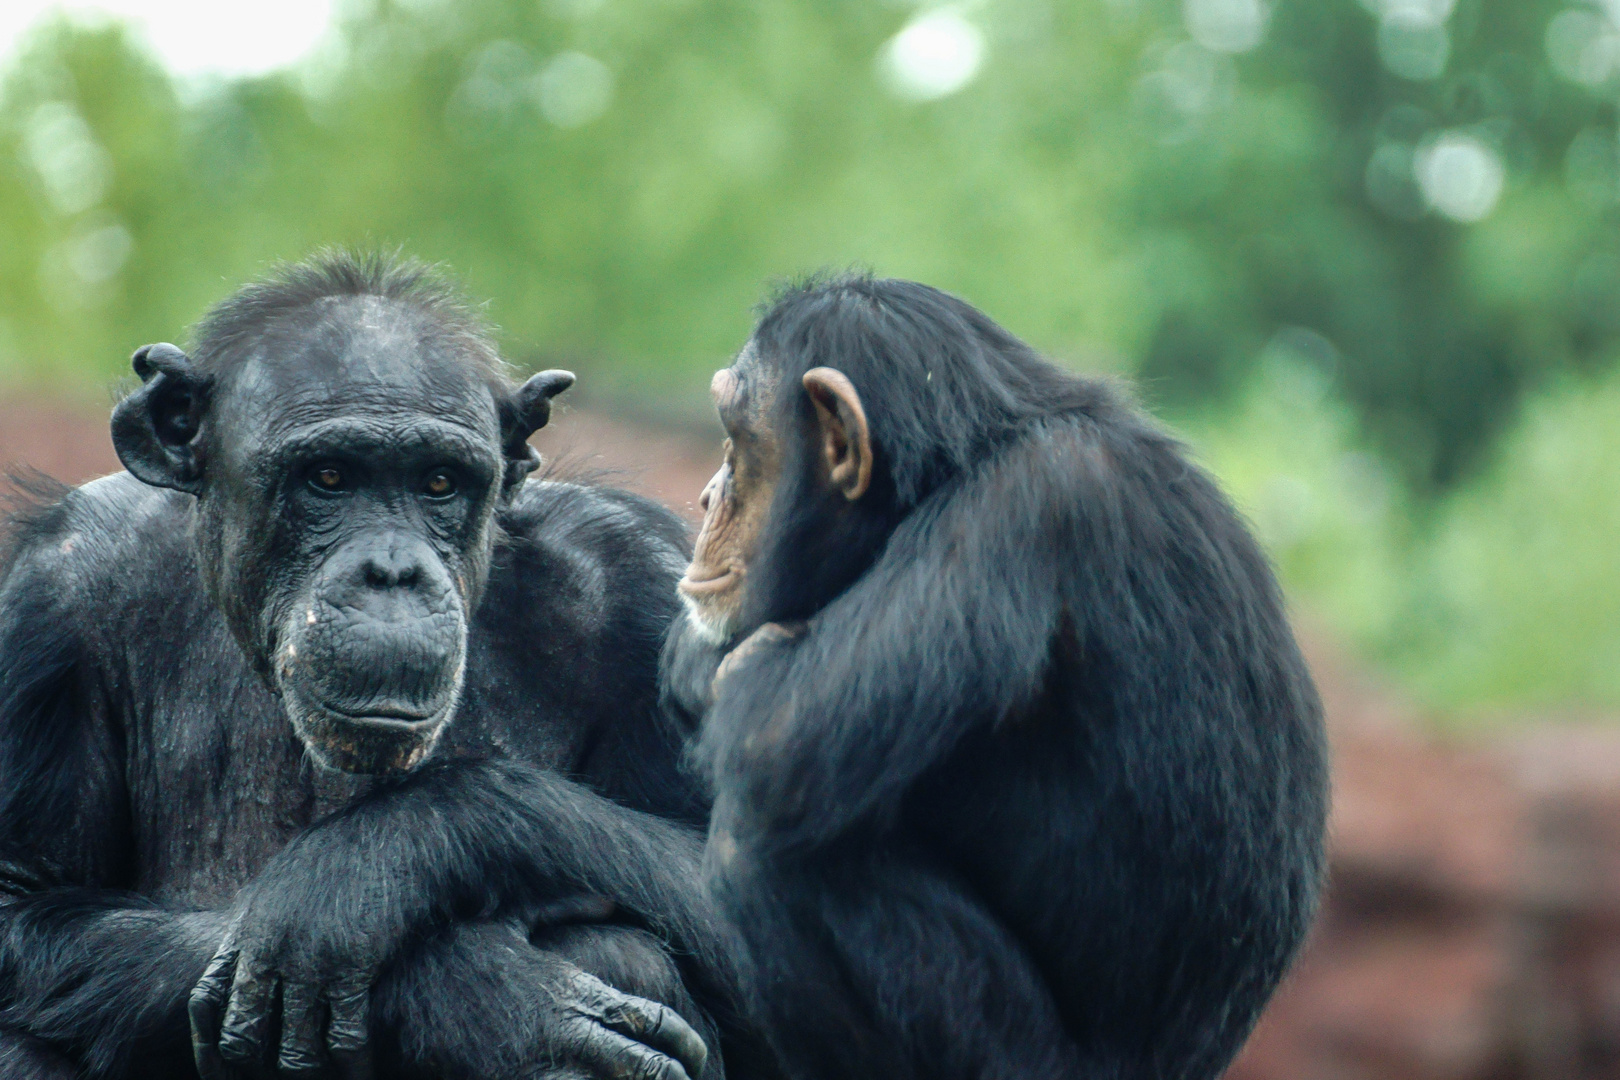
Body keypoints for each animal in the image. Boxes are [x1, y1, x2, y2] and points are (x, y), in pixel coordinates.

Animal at [0, 255, 767, 1080]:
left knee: (624, 951)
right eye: (328, 477)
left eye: (439, 483)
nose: (391, 571)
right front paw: (479, 997)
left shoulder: (642, 590)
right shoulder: (48, 603)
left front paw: (361, 870)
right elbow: (18, 897)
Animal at [657, 276, 1328, 1080]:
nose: (706, 494)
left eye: (737, 438)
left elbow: (776, 731)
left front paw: (718, 666)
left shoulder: (1011, 517)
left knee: (763, 850)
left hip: (1021, 1057)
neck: (954, 469)